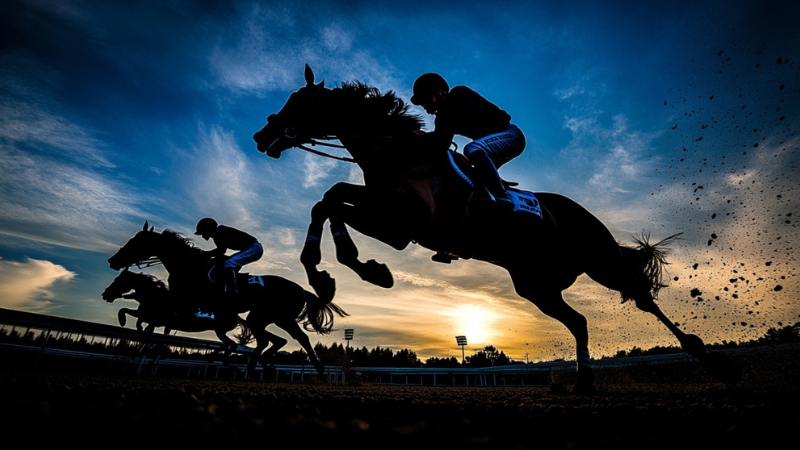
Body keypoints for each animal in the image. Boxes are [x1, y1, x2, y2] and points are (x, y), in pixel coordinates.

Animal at [105, 222, 346, 376]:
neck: (189, 267)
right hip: (263, 317)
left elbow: (154, 316)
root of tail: (303, 290)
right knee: (274, 340)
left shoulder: (182, 301)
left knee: (293, 339)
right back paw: (261, 363)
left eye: (136, 241)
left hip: (278, 317)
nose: (112, 261)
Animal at [253, 64, 740, 394]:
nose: (261, 136)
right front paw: (334, 272)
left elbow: (333, 197)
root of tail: (583, 214)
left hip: (601, 262)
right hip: (535, 285)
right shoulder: (393, 220)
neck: (397, 151)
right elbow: (328, 200)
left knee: (643, 300)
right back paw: (583, 382)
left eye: (300, 102)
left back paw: (712, 362)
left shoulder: (405, 220)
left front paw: (351, 269)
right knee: (579, 320)